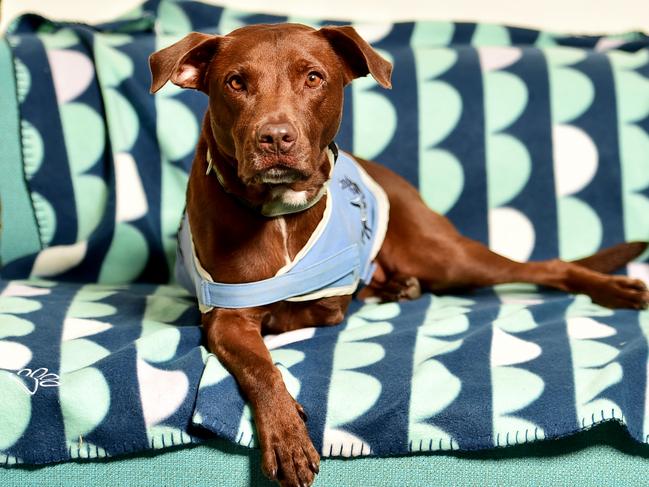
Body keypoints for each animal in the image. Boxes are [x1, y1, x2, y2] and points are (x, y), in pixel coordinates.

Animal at [149, 23, 644, 487]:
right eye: (235, 82)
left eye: (313, 77)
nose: (275, 137)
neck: (279, 213)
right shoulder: (227, 317)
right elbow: (261, 368)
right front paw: (287, 434)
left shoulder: (327, 304)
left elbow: (305, 313)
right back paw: (396, 286)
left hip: (445, 256)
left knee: (549, 267)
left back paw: (615, 289)